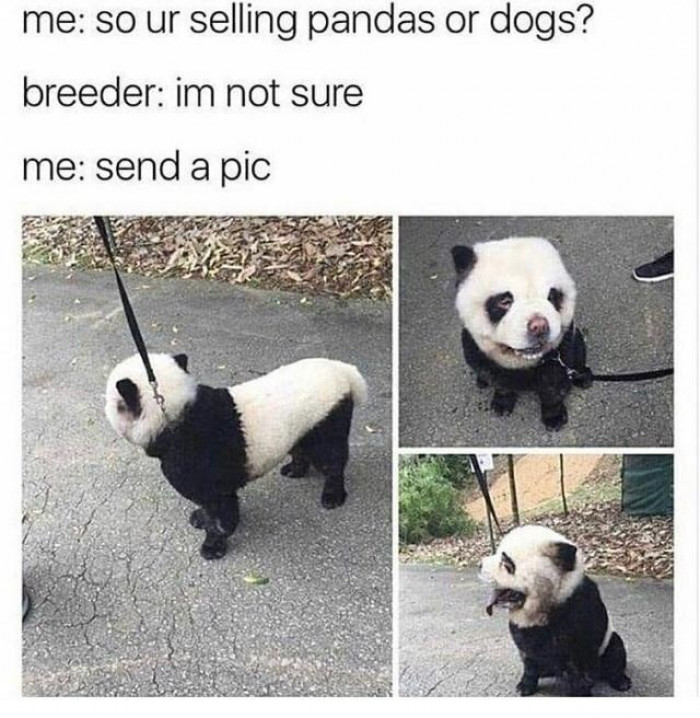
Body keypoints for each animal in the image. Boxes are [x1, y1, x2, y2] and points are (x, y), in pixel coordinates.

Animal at [105, 353, 367, 560]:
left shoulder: (200, 457)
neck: (173, 414)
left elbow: (220, 506)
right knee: (301, 447)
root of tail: (345, 371)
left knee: (331, 456)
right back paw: (295, 470)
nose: (103, 406)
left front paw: (213, 545)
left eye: (109, 399)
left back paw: (332, 495)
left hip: (328, 415)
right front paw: (200, 517)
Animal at [451, 237, 592, 430]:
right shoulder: (481, 353)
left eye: (552, 296)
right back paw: (481, 381)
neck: (521, 361)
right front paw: (502, 403)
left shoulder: (561, 350)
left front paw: (553, 416)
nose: (539, 326)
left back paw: (583, 376)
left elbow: (553, 387)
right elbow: (498, 381)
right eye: (504, 301)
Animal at [479, 525, 631, 697]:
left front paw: (580, 691)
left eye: (506, 563)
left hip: (607, 643)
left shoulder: (579, 616)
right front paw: (525, 685)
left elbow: (579, 667)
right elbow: (528, 659)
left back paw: (621, 681)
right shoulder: (523, 631)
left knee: (615, 654)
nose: (479, 565)